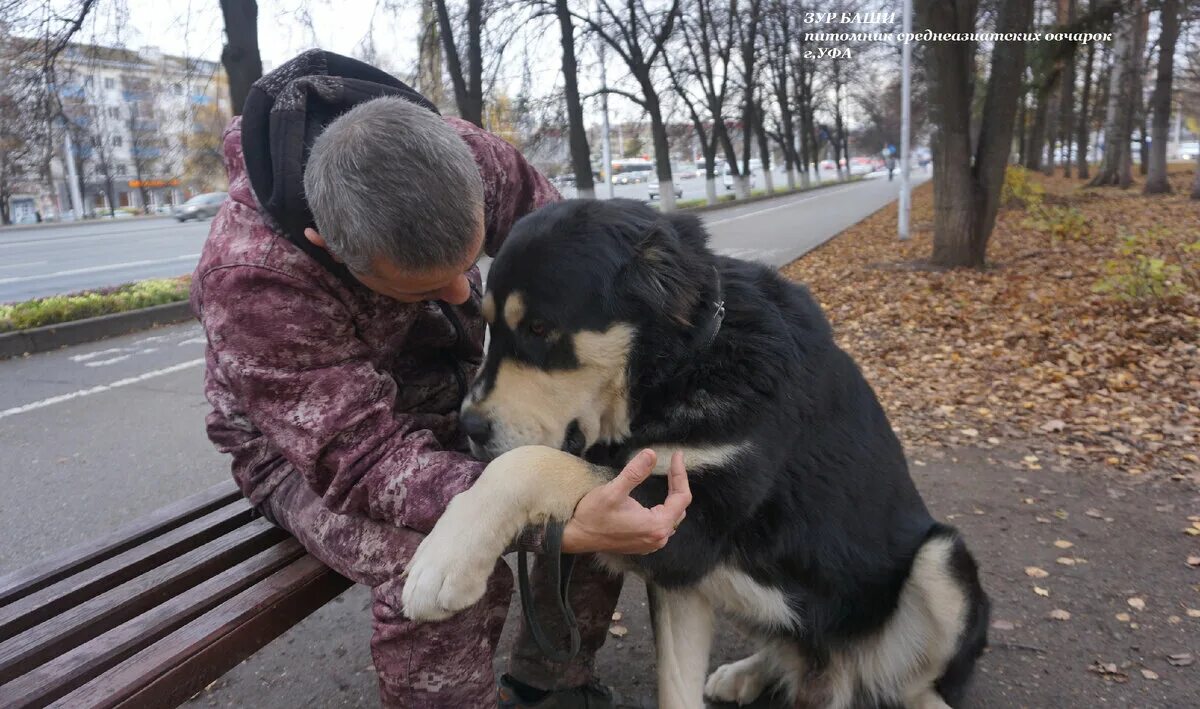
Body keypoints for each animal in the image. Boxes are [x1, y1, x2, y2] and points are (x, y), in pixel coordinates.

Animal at [403, 196, 984, 705]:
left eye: (541, 329)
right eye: (488, 326)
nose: (469, 425)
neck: (686, 365)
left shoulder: (691, 521)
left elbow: (527, 464)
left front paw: (444, 558)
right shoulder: (674, 564)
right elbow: (675, 687)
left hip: (942, 560)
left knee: (916, 684)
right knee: (793, 648)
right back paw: (747, 673)